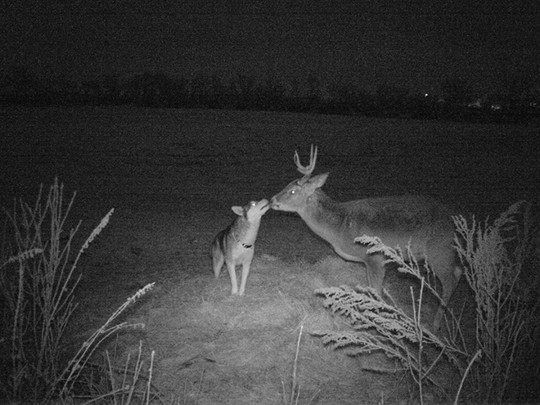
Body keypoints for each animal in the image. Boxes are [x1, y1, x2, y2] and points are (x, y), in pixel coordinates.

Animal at [272, 145, 462, 328]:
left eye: (293, 191)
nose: (272, 200)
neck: (340, 227)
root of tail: (454, 221)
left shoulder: (375, 257)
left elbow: (376, 292)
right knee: (458, 271)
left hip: (438, 249)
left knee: (449, 281)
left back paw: (435, 325)